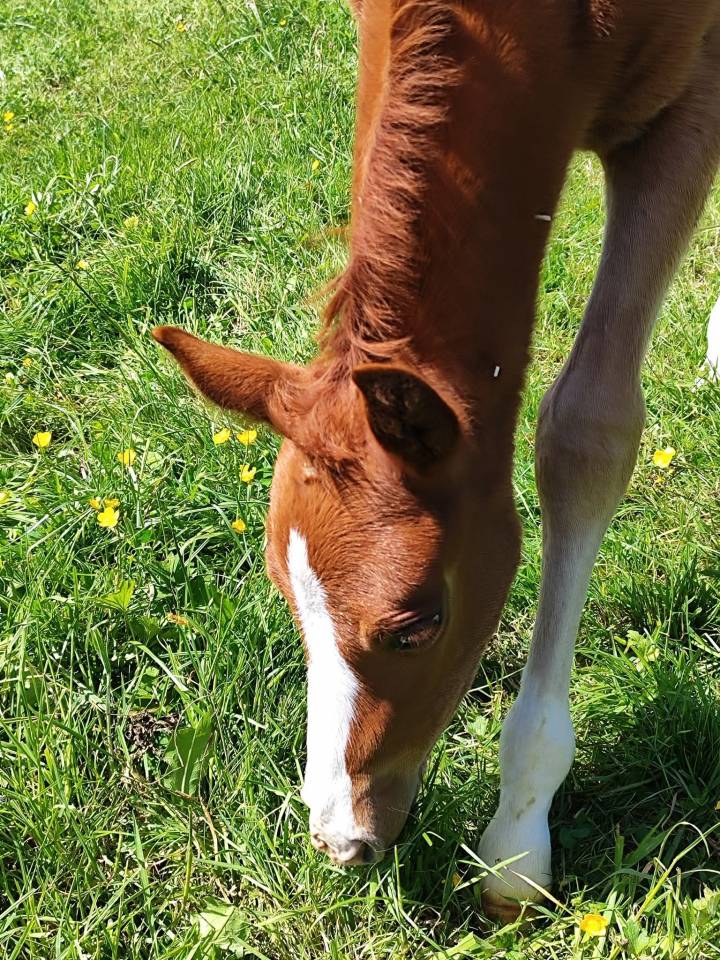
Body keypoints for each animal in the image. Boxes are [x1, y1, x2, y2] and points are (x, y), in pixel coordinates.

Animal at [153, 0, 720, 921]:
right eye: (287, 598)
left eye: (417, 625)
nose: (341, 839)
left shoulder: (682, 105)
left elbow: (587, 432)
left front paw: (518, 837)